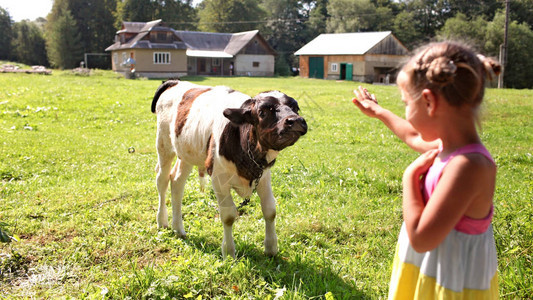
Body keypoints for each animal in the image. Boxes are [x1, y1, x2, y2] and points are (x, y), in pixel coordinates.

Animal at [152, 80, 306, 258]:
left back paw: (178, 228)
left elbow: (270, 210)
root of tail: (175, 82)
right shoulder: (218, 179)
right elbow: (228, 216)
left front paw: (271, 248)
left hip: (186, 152)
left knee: (177, 182)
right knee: (162, 180)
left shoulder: (264, 176)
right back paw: (162, 221)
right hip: (163, 144)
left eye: (295, 107)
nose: (295, 120)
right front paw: (229, 252)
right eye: (262, 112)